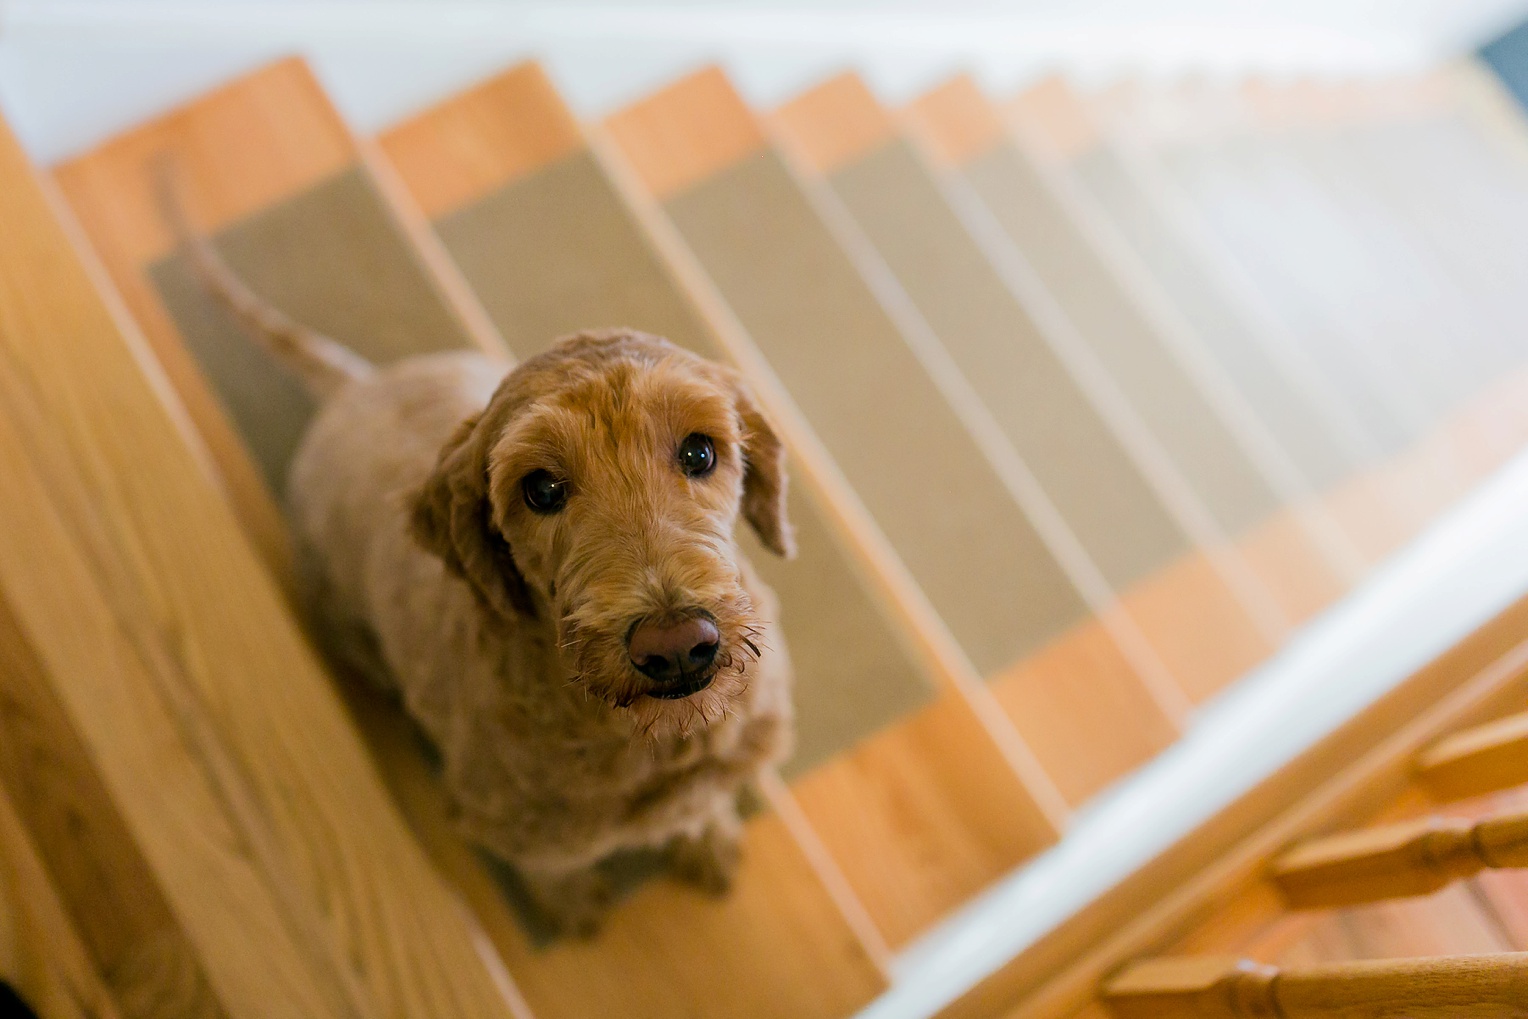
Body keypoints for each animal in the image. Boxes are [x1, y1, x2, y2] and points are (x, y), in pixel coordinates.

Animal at [173, 201, 800, 941]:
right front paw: (570, 904)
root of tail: (355, 387)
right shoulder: (512, 823)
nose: (675, 645)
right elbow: (552, 866)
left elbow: (700, 805)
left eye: (700, 451)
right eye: (541, 489)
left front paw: (708, 837)